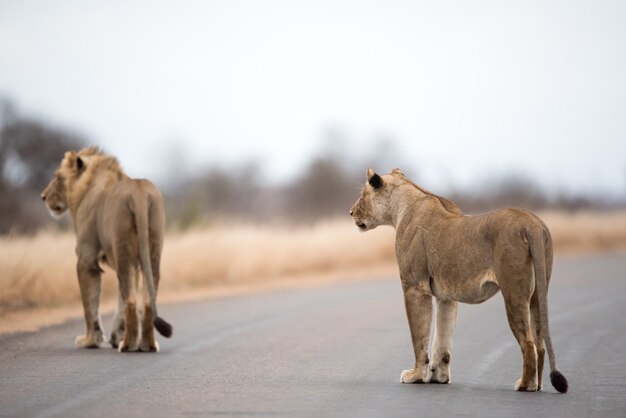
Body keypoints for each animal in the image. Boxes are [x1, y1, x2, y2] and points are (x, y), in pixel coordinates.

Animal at [42, 147, 173, 352]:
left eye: (58, 177)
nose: (43, 196)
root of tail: (139, 193)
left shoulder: (86, 259)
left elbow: (90, 305)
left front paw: (90, 341)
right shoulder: (132, 263)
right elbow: (119, 304)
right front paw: (116, 338)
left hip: (123, 250)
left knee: (131, 300)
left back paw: (127, 346)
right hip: (150, 249)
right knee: (145, 299)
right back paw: (147, 345)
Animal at [348, 168, 568, 394]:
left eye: (363, 194)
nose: (351, 212)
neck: (401, 209)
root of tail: (532, 224)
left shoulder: (414, 287)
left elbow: (419, 337)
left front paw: (415, 375)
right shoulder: (446, 296)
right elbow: (442, 340)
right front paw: (439, 377)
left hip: (513, 292)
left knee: (528, 342)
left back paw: (525, 384)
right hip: (538, 293)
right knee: (540, 342)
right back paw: (538, 384)